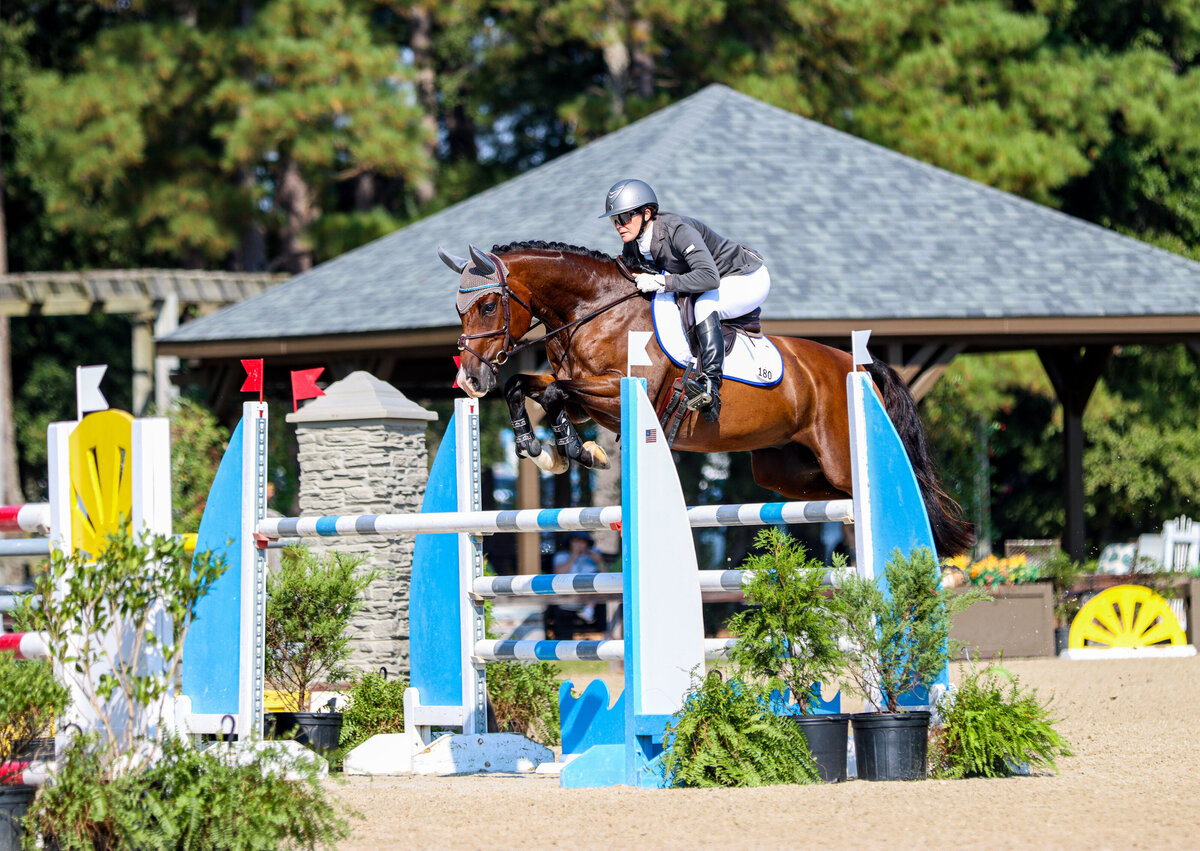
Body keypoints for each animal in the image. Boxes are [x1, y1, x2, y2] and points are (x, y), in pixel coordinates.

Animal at [440, 241, 974, 558]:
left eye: (488, 305)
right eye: (459, 309)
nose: (470, 379)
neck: (594, 309)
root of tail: (858, 366)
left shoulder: (618, 394)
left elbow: (552, 391)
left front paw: (577, 450)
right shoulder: (583, 398)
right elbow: (526, 387)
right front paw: (542, 449)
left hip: (838, 457)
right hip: (788, 473)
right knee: (838, 499)